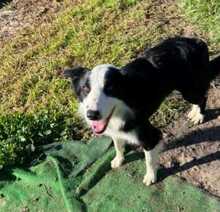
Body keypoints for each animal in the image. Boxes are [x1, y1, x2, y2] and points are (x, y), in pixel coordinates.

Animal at [63, 37, 220, 186]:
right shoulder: (115, 130)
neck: (122, 109)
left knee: (203, 96)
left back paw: (199, 115)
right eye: (85, 89)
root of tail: (197, 41)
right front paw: (119, 160)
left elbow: (149, 159)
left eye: (110, 89)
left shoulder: (150, 134)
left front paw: (150, 177)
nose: (92, 115)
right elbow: (118, 145)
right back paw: (194, 111)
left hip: (189, 90)